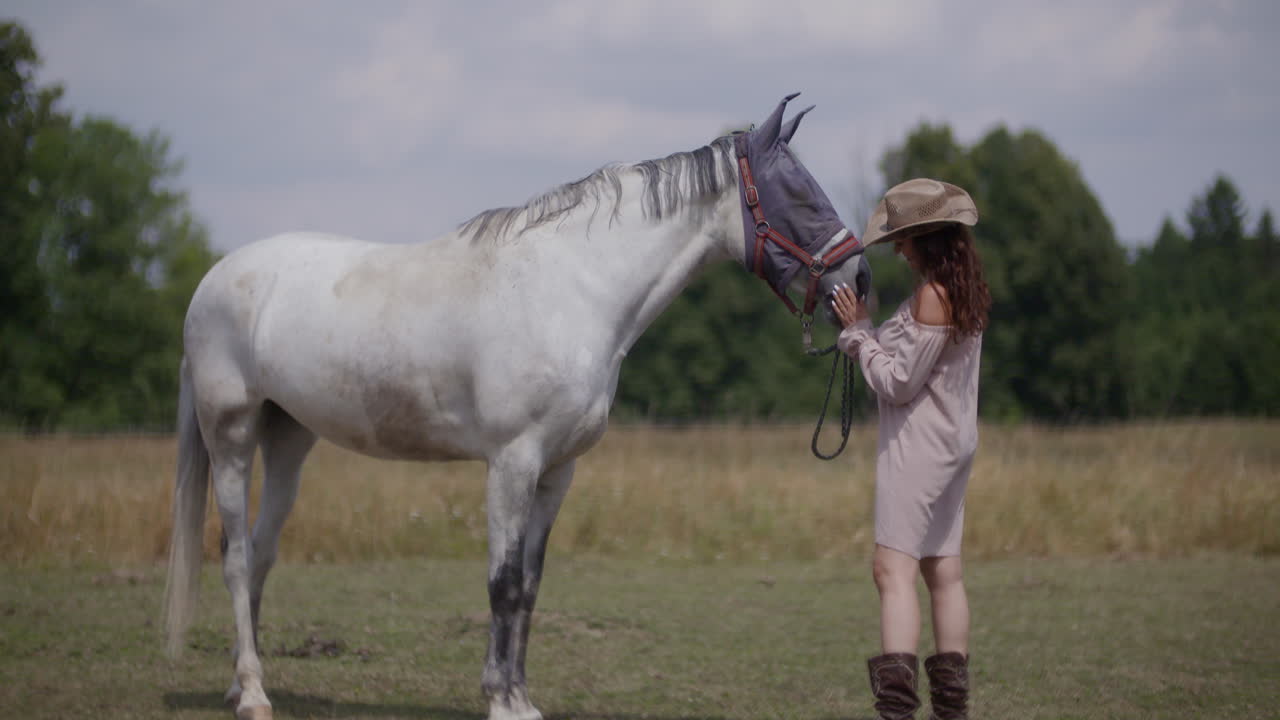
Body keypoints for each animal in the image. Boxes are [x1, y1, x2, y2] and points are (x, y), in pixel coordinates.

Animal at [163, 93, 871, 720]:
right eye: (799, 194)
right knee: (234, 557)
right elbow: (501, 583)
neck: (572, 288)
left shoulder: (557, 471)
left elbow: (529, 586)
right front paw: (501, 701)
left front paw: (521, 697)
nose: (858, 281)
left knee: (260, 552)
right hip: (231, 437)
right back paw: (254, 695)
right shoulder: (511, 462)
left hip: (288, 441)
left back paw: (242, 685)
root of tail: (212, 281)